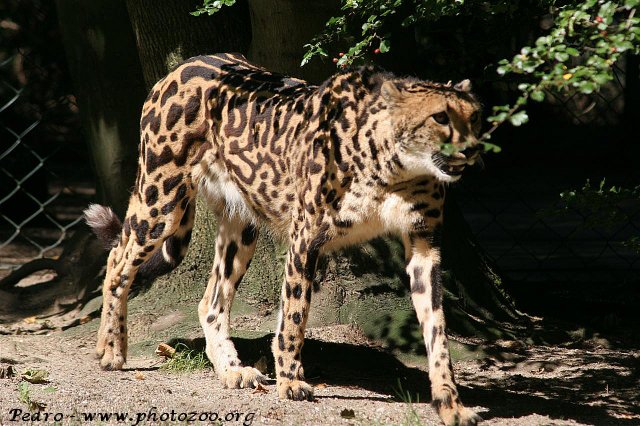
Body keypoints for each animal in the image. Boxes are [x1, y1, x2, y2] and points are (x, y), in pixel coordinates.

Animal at [84, 52, 483, 426]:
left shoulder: (424, 244)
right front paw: (290, 381)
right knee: (117, 261)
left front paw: (449, 402)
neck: (395, 168)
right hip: (160, 201)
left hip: (241, 223)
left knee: (210, 301)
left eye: (475, 116)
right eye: (440, 117)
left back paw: (232, 370)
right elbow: (294, 315)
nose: (473, 149)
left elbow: (437, 331)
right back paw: (111, 349)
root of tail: (186, 62)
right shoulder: (305, 238)